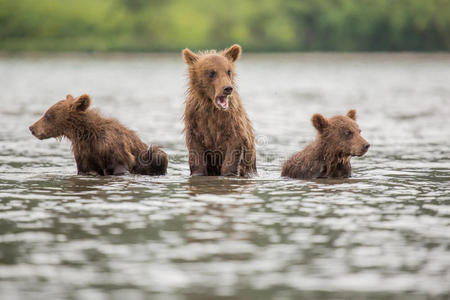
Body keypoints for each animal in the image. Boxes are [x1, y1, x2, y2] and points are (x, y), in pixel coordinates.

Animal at [29, 94, 168, 176]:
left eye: (48, 115)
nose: (32, 128)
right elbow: (86, 169)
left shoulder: (115, 152)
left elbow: (119, 166)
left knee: (156, 154)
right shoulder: (84, 155)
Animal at [182, 43, 256, 177]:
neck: (211, 107)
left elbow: (234, 148)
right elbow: (196, 155)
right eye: (211, 72)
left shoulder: (232, 121)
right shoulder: (195, 121)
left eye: (228, 71)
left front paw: (228, 172)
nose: (227, 88)